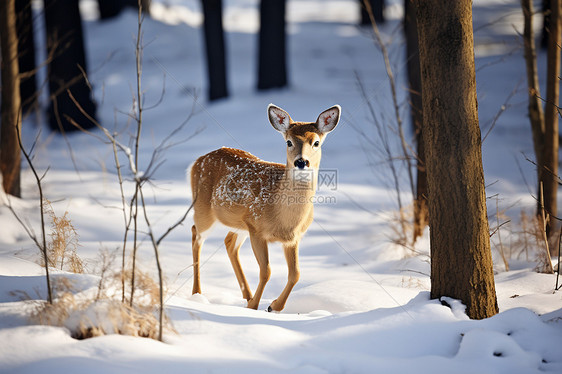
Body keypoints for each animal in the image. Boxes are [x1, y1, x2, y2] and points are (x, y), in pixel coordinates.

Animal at [188, 103, 340, 312]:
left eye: (316, 142)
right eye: (289, 142)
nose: (301, 162)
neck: (283, 217)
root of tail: (197, 161)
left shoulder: (293, 238)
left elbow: (296, 274)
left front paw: (273, 306)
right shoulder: (257, 229)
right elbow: (266, 271)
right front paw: (255, 307)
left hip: (239, 224)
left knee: (229, 243)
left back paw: (247, 294)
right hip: (203, 210)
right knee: (196, 235)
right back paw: (198, 293)